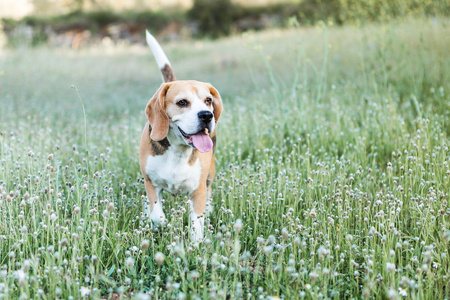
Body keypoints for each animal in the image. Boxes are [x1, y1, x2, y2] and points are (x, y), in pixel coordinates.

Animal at [140, 31, 222, 241]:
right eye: (182, 102)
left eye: (208, 100)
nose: (206, 115)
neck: (178, 151)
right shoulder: (151, 183)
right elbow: (157, 215)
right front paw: (161, 225)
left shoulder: (198, 190)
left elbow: (196, 224)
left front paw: (196, 244)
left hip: (210, 173)